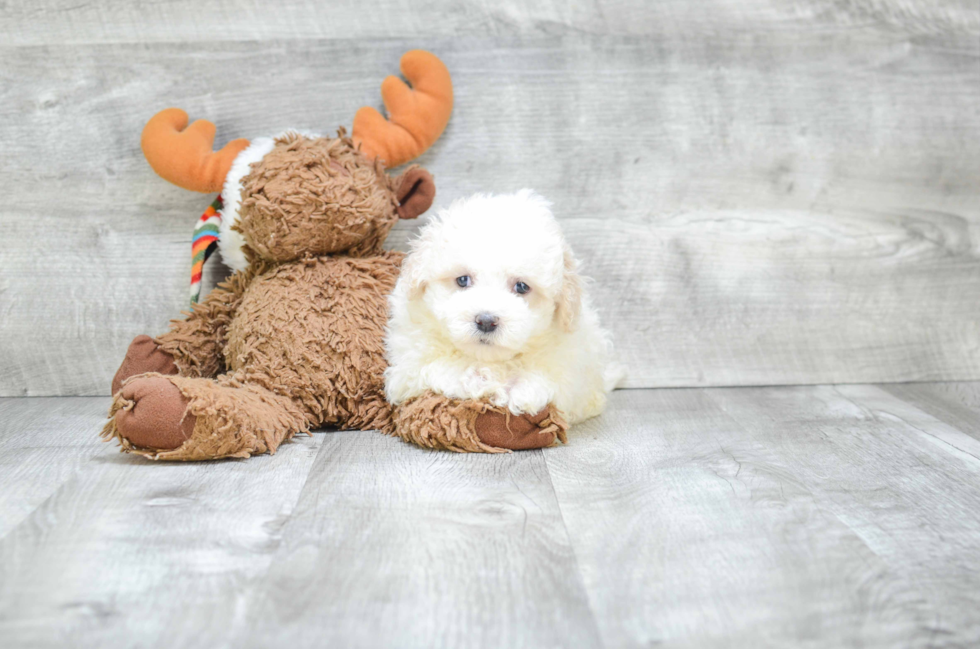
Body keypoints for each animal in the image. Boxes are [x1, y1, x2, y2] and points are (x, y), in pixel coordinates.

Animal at [382, 189, 620, 420]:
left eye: (522, 287)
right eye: (462, 280)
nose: (486, 321)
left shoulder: (569, 375)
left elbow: (543, 383)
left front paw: (519, 391)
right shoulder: (409, 367)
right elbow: (446, 369)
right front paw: (481, 379)